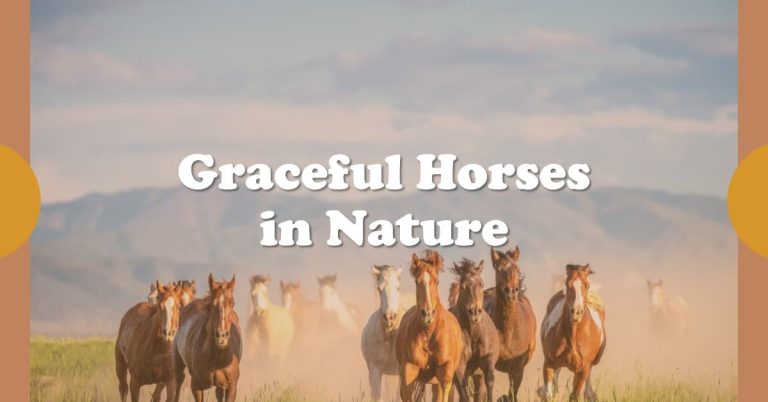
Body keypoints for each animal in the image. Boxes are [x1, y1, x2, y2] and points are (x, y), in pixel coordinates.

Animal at [395, 250, 466, 402]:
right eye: (417, 281)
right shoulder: (408, 374)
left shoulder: (445, 374)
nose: (427, 314)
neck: (429, 335)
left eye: (437, 281)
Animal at [449, 259, 500, 402]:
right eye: (462, 287)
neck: (473, 334)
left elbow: (489, 385)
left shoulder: (487, 361)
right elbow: (463, 392)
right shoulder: (459, 366)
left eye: (481, 284)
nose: (475, 313)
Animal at [483, 246, 537, 402]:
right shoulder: (488, 363)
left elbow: (512, 394)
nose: (511, 292)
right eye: (498, 269)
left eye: (516, 269)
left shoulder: (518, 368)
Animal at [539, 264, 606, 402]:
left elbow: (574, 395)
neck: (573, 336)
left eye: (587, 285)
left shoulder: (583, 368)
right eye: (567, 284)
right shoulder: (549, 362)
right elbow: (548, 394)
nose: (576, 311)